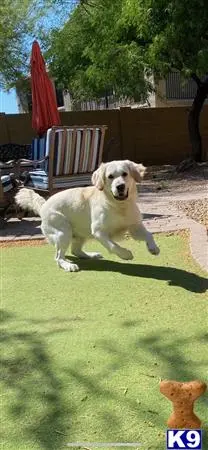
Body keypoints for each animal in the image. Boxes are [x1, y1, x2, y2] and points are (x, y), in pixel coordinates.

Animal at [15, 160, 160, 272]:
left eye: (125, 174)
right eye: (110, 176)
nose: (120, 186)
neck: (119, 206)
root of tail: (44, 206)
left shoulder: (135, 227)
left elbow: (149, 235)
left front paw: (153, 248)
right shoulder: (99, 232)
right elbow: (113, 246)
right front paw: (125, 254)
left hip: (79, 234)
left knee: (75, 251)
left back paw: (91, 255)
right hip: (63, 232)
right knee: (58, 257)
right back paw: (68, 265)